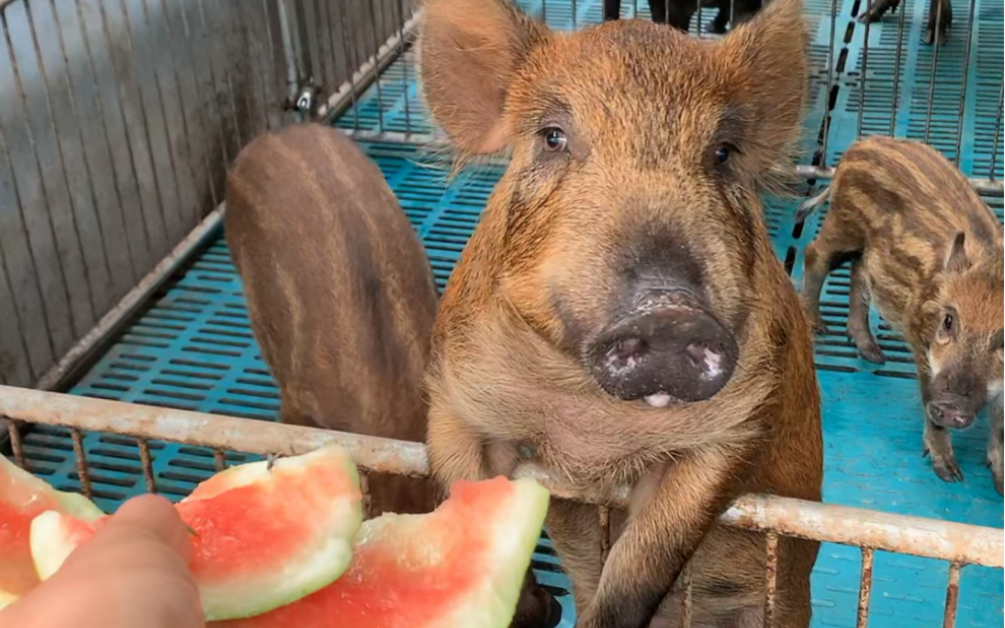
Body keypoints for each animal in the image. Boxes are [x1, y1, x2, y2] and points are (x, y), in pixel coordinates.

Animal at [416, 1, 824, 626]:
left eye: (723, 152)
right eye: (552, 137)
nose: (668, 310)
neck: (593, 425)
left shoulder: (739, 423)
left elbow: (645, 558)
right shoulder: (456, 391)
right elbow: (462, 495)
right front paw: (533, 604)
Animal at [795, 133, 1000, 494]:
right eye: (948, 320)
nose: (951, 407)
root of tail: (858, 147)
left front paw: (999, 483)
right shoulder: (922, 342)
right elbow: (928, 400)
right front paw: (949, 474)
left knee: (860, 270)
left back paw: (873, 354)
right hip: (844, 222)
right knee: (815, 255)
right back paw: (817, 326)